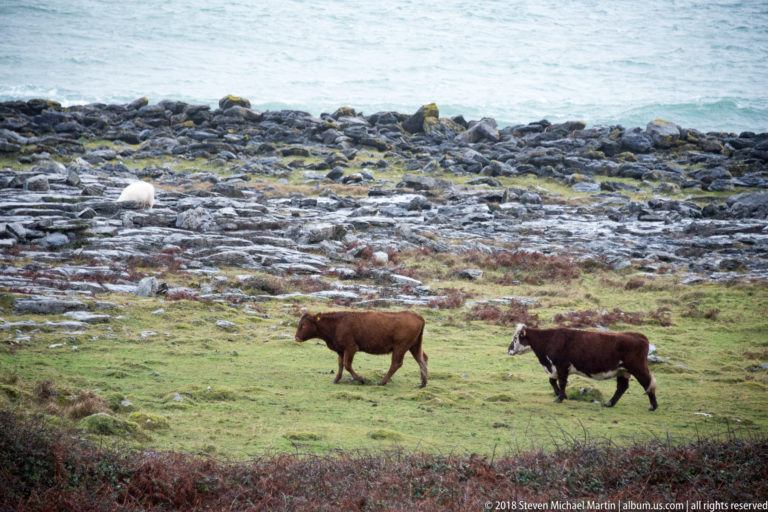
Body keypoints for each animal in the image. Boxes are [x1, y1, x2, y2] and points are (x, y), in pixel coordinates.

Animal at [294, 311, 428, 388]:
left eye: (304, 325)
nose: (296, 338)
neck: (337, 323)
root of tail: (419, 317)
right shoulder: (341, 350)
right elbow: (340, 365)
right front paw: (336, 380)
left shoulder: (351, 348)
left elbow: (347, 365)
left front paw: (362, 380)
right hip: (414, 346)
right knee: (422, 359)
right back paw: (423, 383)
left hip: (400, 347)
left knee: (396, 364)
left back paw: (382, 382)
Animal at [507, 323, 657, 411]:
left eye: (515, 338)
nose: (509, 350)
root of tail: (639, 336)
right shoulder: (554, 368)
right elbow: (552, 381)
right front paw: (562, 395)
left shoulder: (562, 366)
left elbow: (562, 383)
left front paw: (559, 398)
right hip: (622, 371)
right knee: (622, 387)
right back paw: (609, 403)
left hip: (638, 367)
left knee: (648, 383)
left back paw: (653, 406)